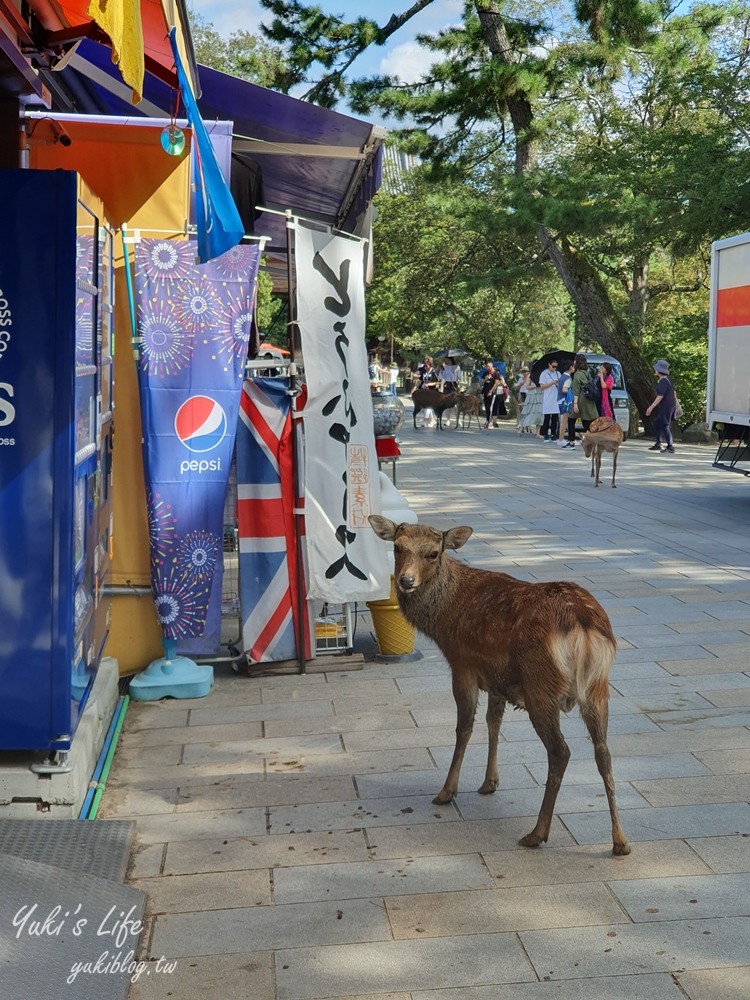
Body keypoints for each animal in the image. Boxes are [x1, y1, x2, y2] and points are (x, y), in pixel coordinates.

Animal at [368, 520, 632, 856]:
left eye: (433, 553)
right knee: (603, 751)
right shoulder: (496, 678)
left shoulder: (463, 664)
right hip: (598, 688)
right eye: (397, 547)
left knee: (560, 751)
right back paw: (620, 841)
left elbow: (465, 728)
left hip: (540, 685)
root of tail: (582, 624)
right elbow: (493, 722)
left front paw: (447, 791)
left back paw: (537, 833)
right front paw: (490, 782)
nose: (405, 580)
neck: (444, 619)